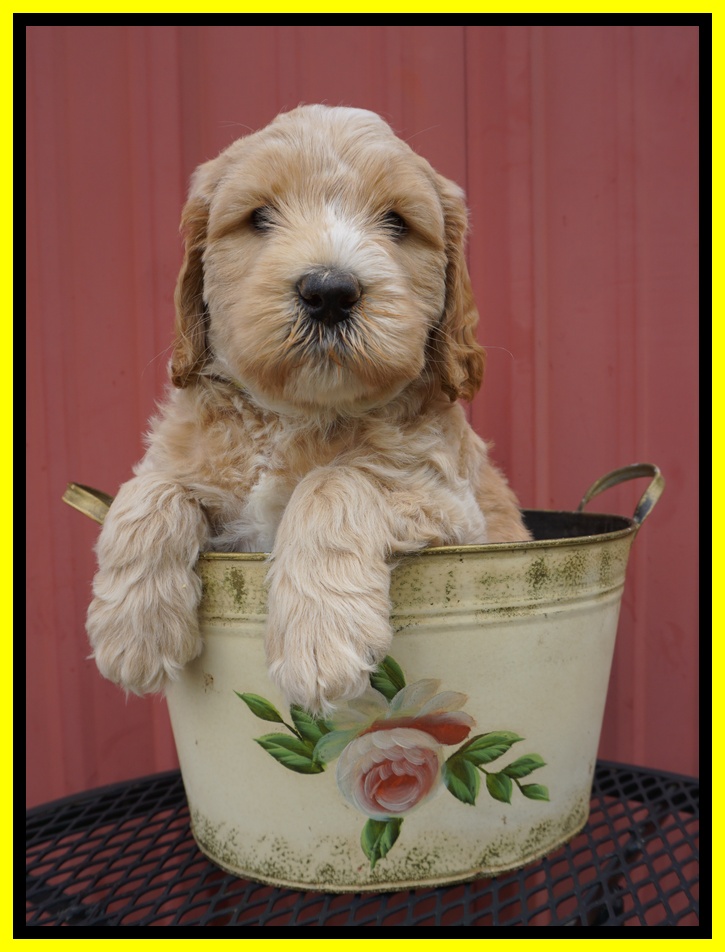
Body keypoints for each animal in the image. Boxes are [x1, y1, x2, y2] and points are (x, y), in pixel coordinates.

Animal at [87, 104, 531, 715]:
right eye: (258, 218)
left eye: (397, 223)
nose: (330, 291)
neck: (293, 413)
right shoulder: (188, 462)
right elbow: (150, 488)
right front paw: (133, 632)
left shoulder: (450, 506)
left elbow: (335, 481)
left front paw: (318, 647)